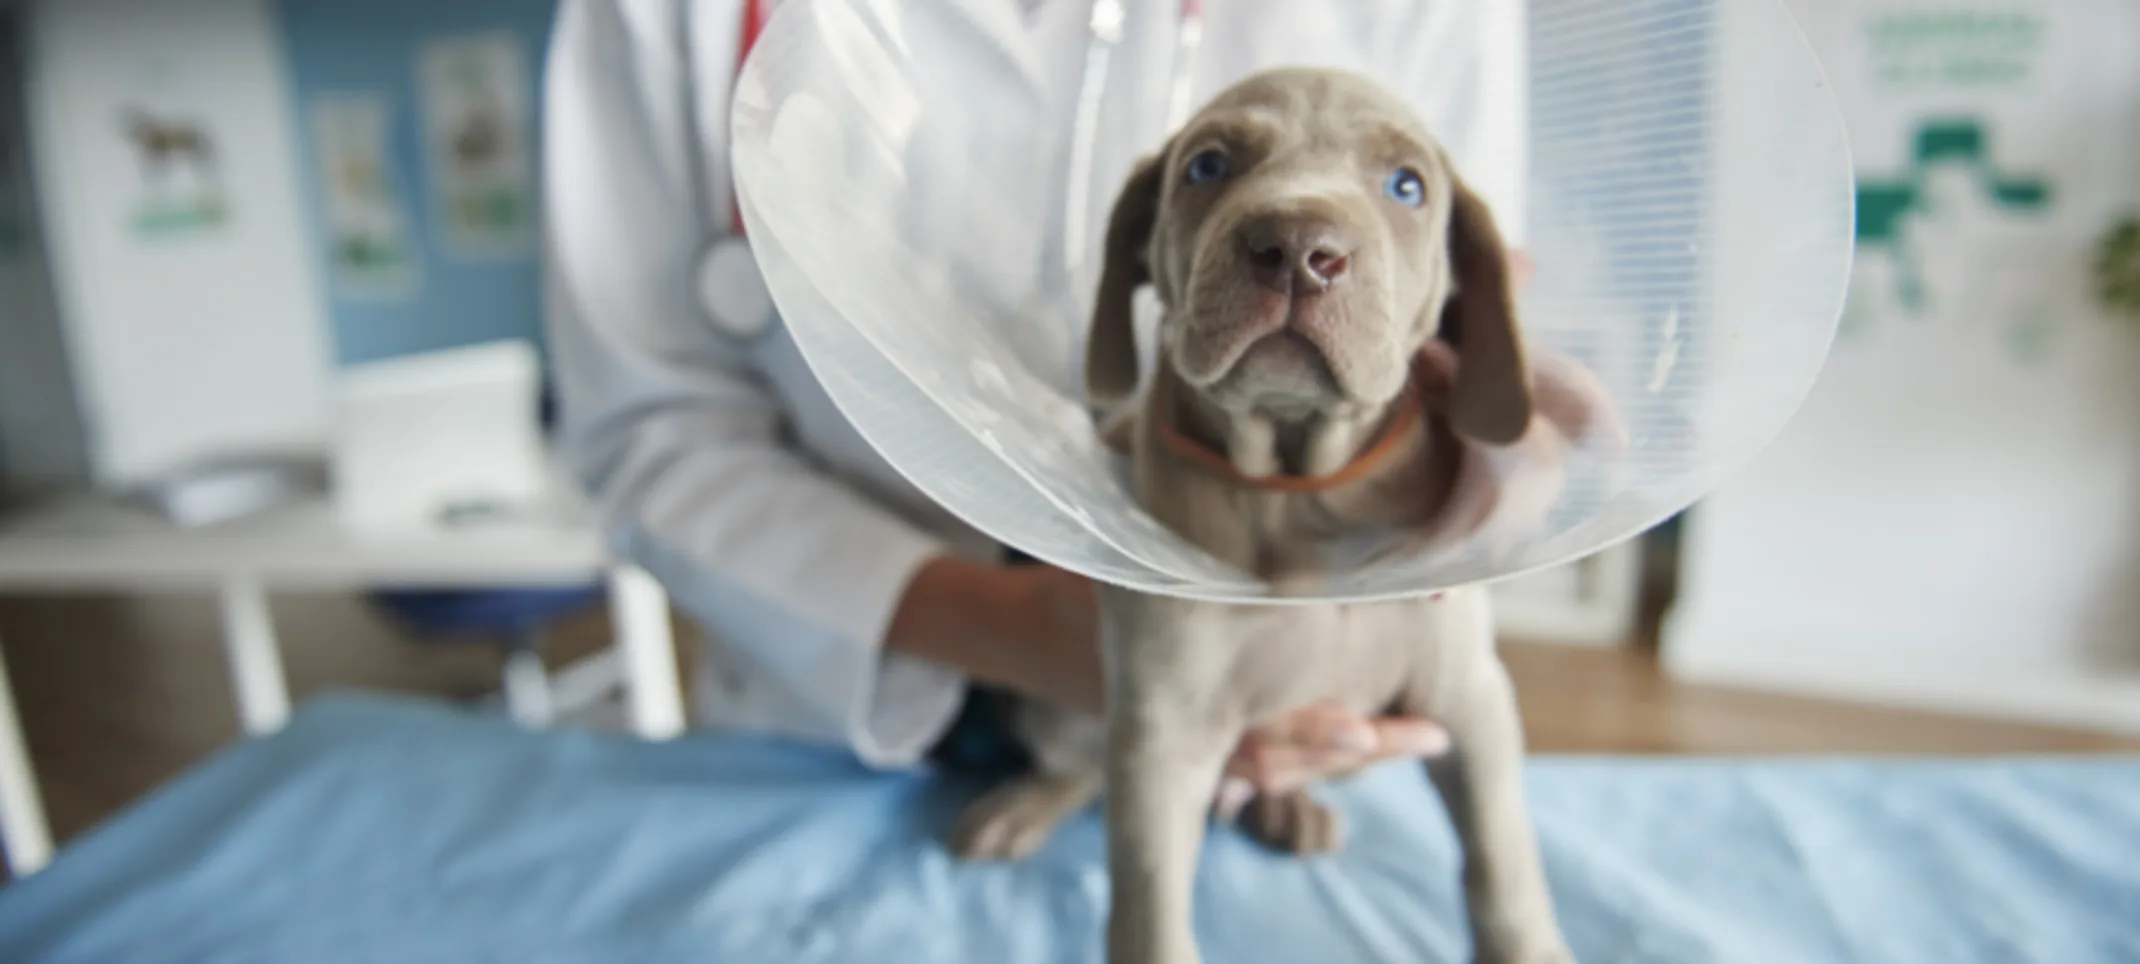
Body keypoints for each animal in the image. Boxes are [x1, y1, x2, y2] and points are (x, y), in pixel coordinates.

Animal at [954, 69, 1609, 964]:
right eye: (1206, 166)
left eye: (1406, 186)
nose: (1299, 249)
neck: (1299, 489)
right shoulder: (1164, 732)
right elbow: (1149, 907)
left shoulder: (1469, 697)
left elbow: (1503, 858)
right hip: (1057, 712)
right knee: (1081, 764)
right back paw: (1023, 805)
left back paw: (1289, 806)